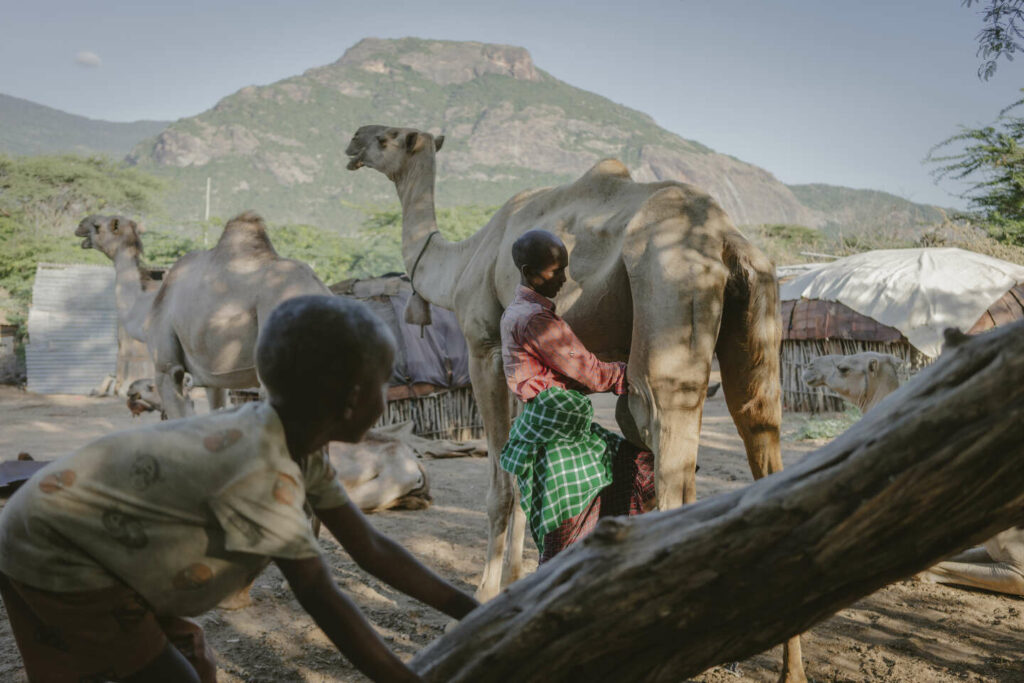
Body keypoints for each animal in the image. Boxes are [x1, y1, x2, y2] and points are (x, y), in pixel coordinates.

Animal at [344, 122, 798, 679]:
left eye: (387, 137)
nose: (352, 141)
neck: (464, 260)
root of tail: (726, 239)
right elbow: (523, 479)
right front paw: (514, 589)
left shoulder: (482, 343)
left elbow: (501, 488)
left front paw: (478, 603)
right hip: (758, 317)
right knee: (760, 430)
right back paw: (788, 667)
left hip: (669, 293)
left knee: (666, 435)